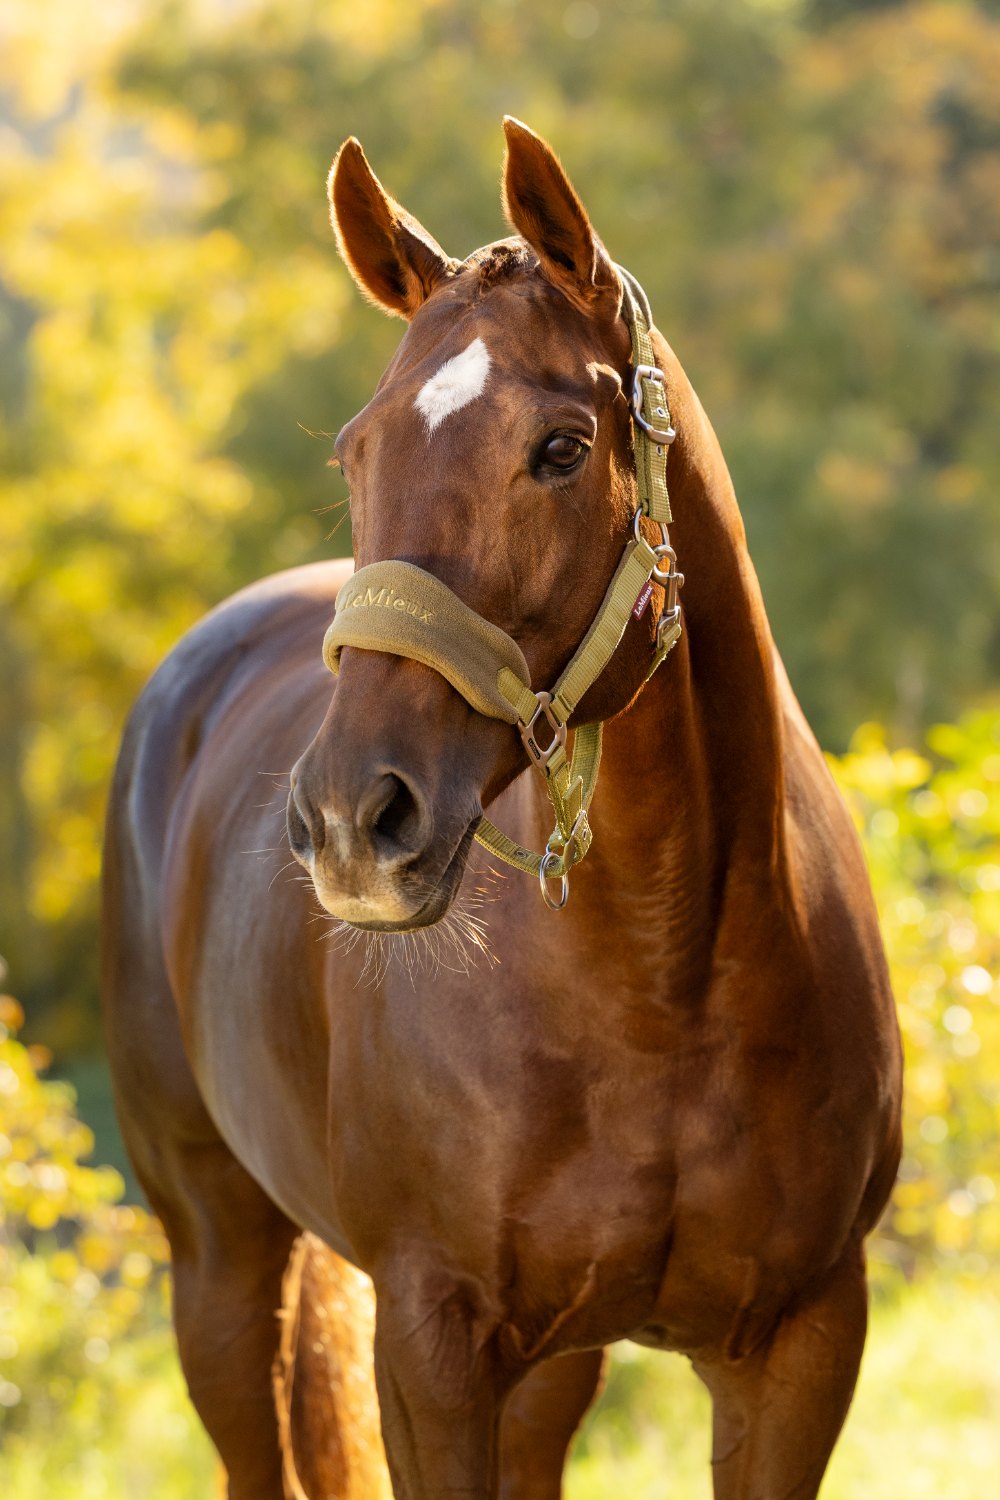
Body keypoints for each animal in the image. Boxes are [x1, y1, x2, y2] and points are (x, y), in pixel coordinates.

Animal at [102, 118, 903, 1500]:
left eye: (562, 448)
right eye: (356, 449)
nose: (353, 821)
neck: (666, 975)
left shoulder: (799, 1345)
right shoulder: (431, 1346)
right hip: (218, 1259)